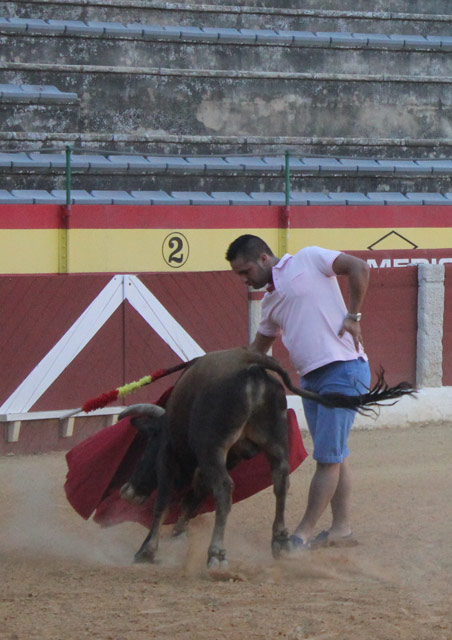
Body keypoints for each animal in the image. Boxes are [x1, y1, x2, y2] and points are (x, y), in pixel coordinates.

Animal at [119, 348, 414, 568]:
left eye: (147, 445)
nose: (127, 490)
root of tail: (251, 366)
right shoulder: (227, 458)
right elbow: (193, 498)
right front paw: (178, 535)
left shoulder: (172, 455)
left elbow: (165, 501)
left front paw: (147, 550)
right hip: (275, 442)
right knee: (281, 481)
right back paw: (280, 541)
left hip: (214, 446)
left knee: (225, 488)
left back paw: (216, 554)